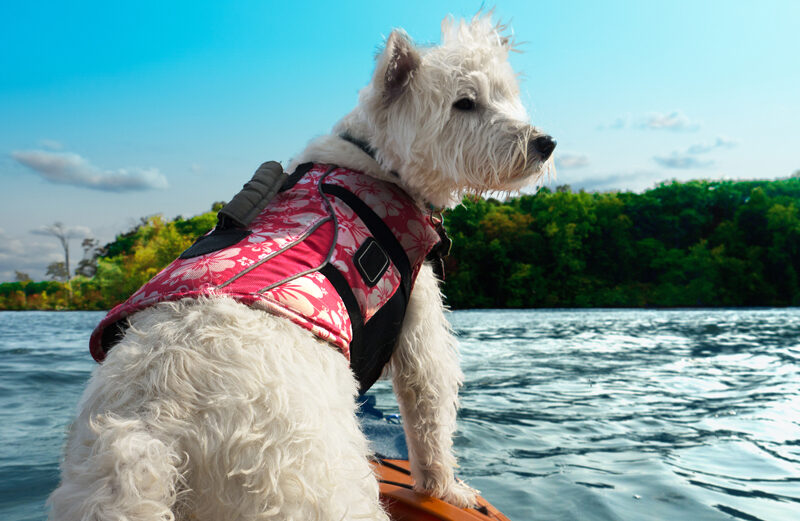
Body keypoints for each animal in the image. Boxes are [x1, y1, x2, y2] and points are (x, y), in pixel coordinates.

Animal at [47, 14, 552, 516]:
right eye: (465, 103)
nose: (545, 143)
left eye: (504, 94)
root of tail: (149, 434)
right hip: (319, 487)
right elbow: (430, 416)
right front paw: (447, 490)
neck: (377, 161)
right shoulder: (418, 326)